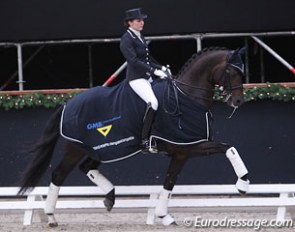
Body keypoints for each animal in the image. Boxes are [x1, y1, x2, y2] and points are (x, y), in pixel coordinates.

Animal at [17, 47, 250, 227]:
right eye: (231, 71)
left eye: (242, 72)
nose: (238, 101)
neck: (187, 97)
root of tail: (68, 103)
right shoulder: (189, 146)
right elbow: (229, 148)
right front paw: (243, 184)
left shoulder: (181, 153)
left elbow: (170, 182)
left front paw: (164, 216)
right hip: (77, 149)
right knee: (58, 174)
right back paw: (51, 217)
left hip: (104, 149)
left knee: (87, 167)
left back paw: (109, 197)